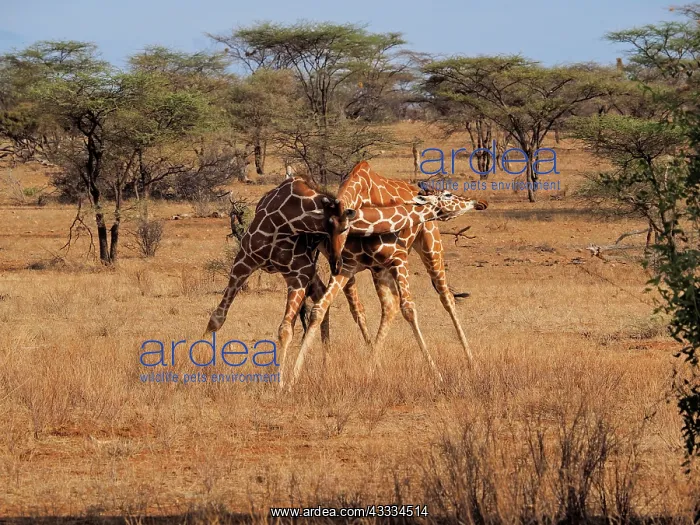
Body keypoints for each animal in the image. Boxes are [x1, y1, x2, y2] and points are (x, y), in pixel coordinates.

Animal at [281, 191, 487, 389]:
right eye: (448, 195)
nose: (479, 202)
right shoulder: (349, 268)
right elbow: (320, 308)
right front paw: (292, 379)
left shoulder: (399, 258)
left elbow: (409, 309)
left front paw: (436, 374)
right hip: (380, 269)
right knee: (389, 306)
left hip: (431, 249)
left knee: (446, 298)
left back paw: (473, 364)